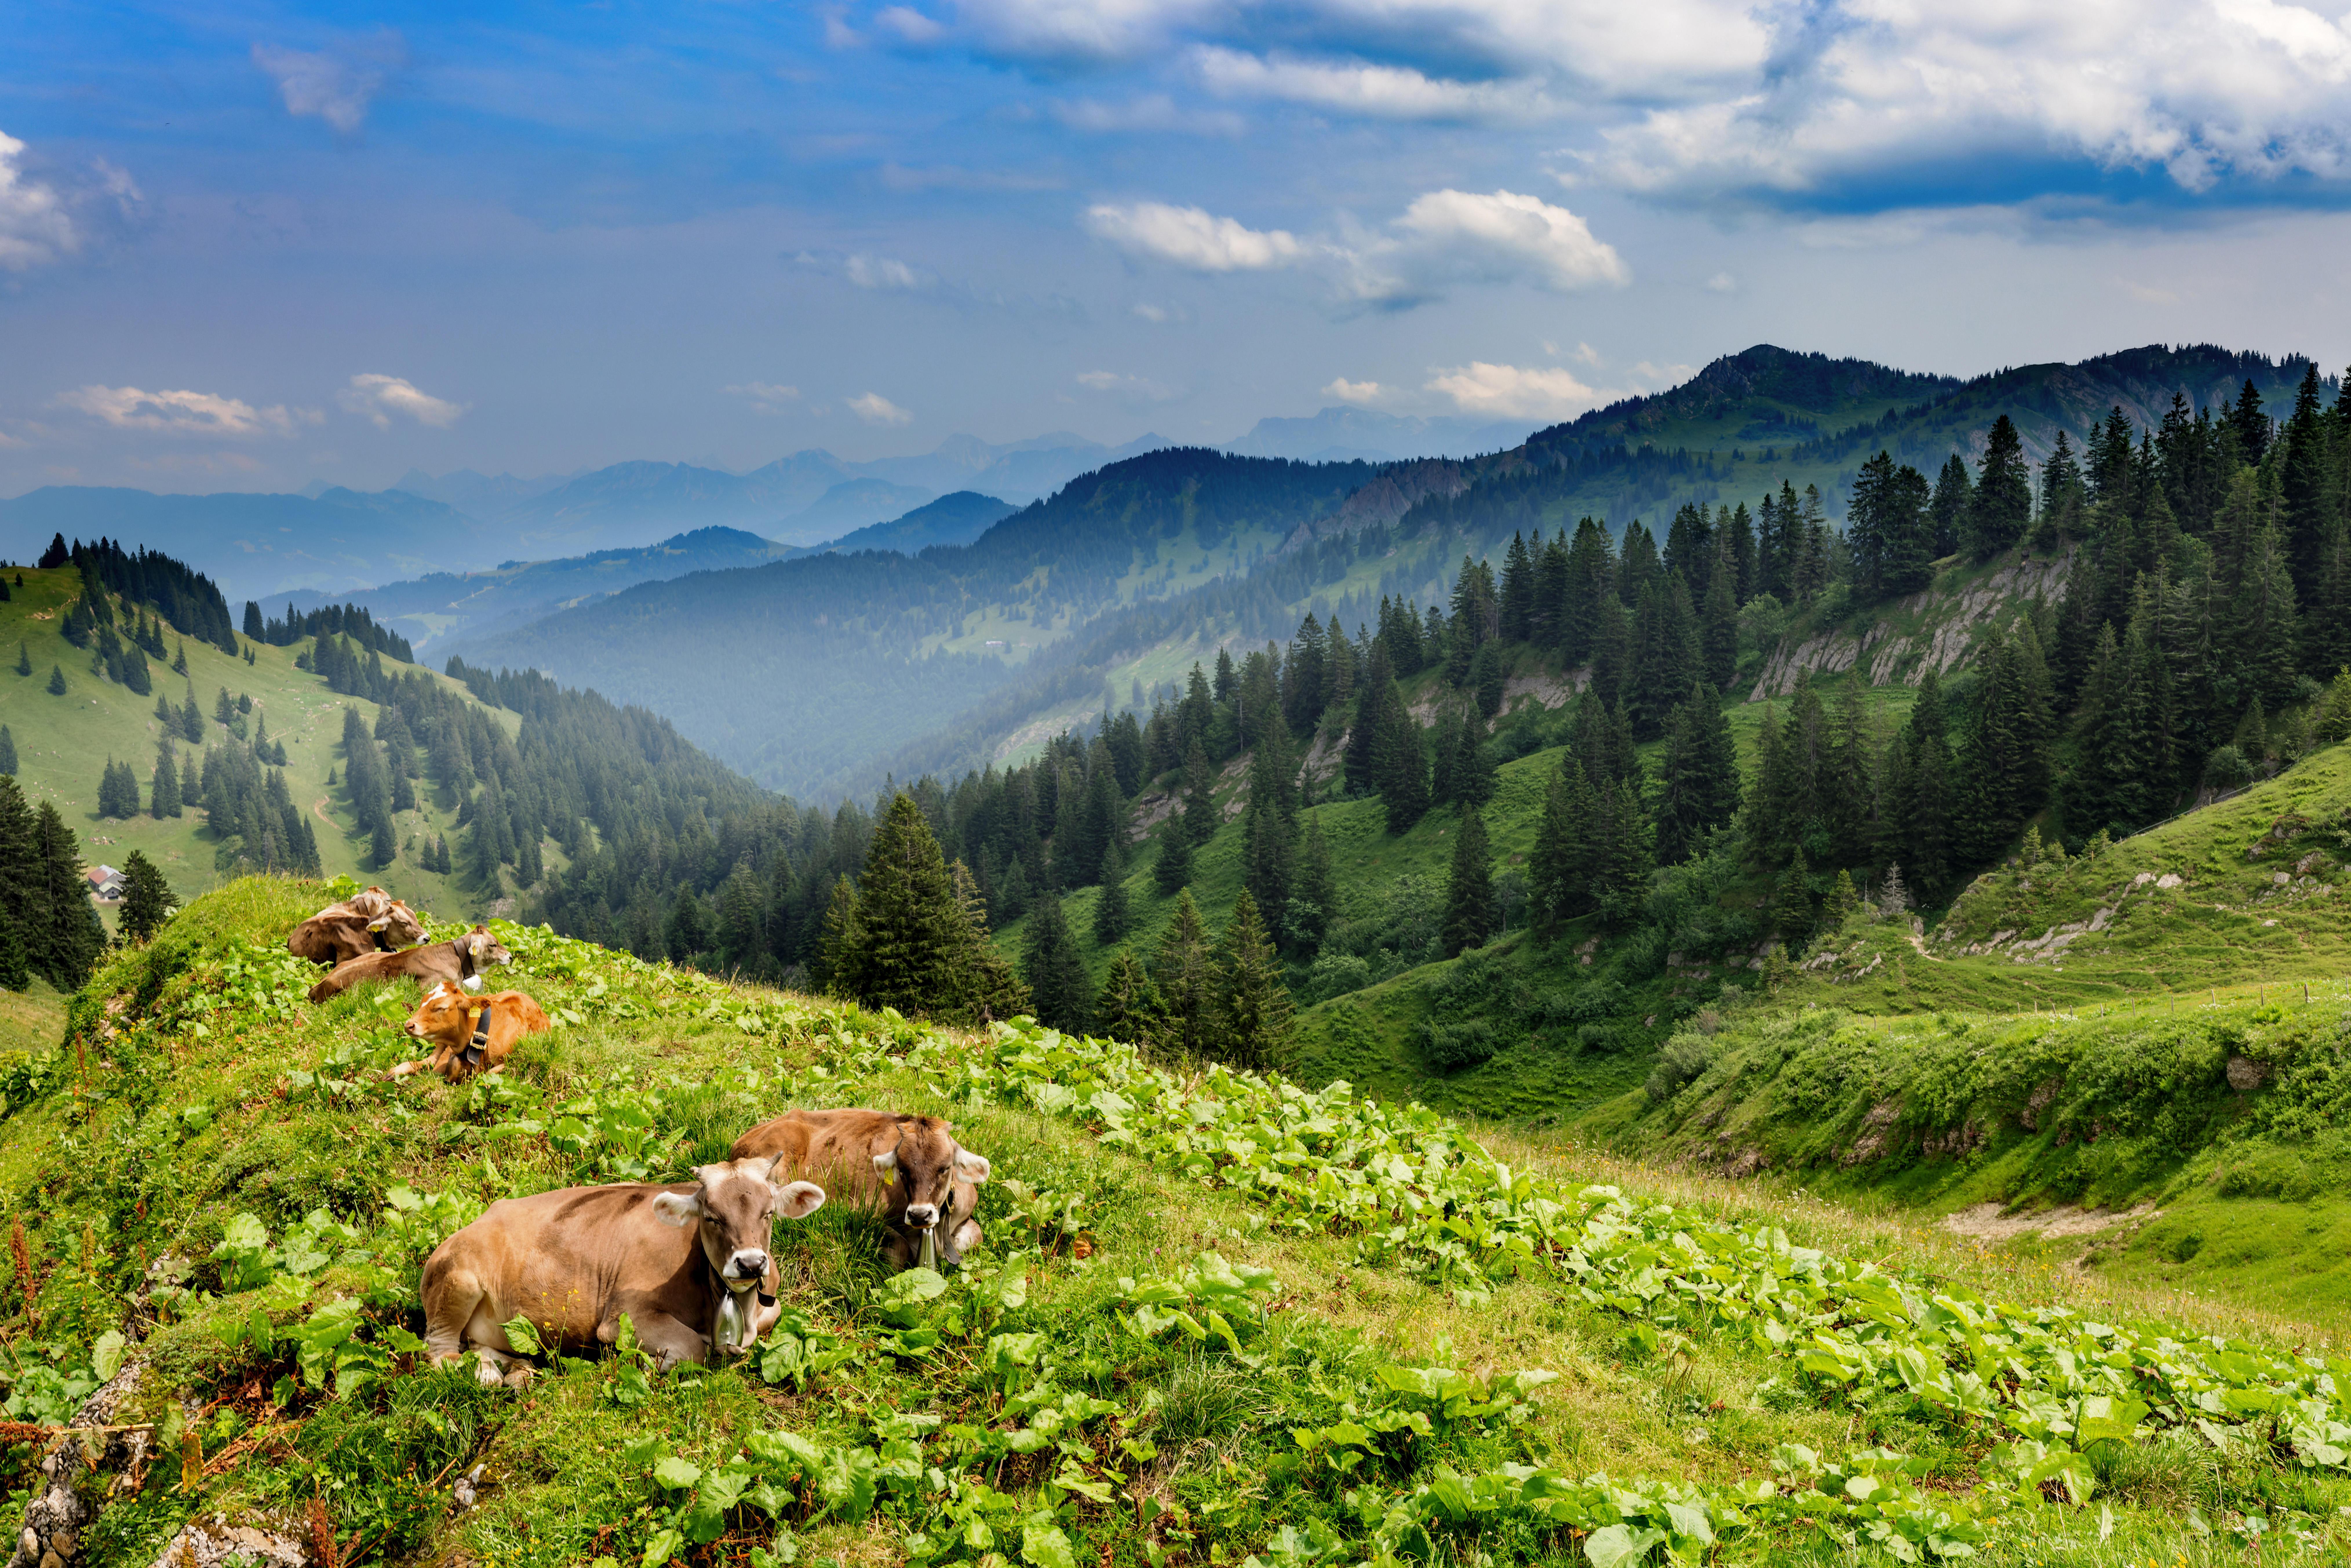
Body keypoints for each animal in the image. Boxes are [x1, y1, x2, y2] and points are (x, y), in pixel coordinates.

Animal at [391, 983, 551, 1082]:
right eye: (422, 1003)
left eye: (442, 1008)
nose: (409, 1025)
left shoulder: (512, 1063)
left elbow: (487, 1075)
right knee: (430, 1060)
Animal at [419, 1157, 826, 1382]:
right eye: (711, 1217)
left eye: (768, 1213)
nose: (751, 1263)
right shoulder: (623, 1316)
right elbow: (692, 1348)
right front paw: (650, 1364)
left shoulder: (769, 1306)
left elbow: (772, 1316)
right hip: (458, 1282)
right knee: (439, 1353)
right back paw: (488, 1375)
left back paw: (517, 1372)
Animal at [728, 1109, 990, 1271]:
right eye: (903, 1169)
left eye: (945, 1168)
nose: (919, 1215)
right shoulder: (862, 1212)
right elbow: (901, 1249)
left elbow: (975, 1236)